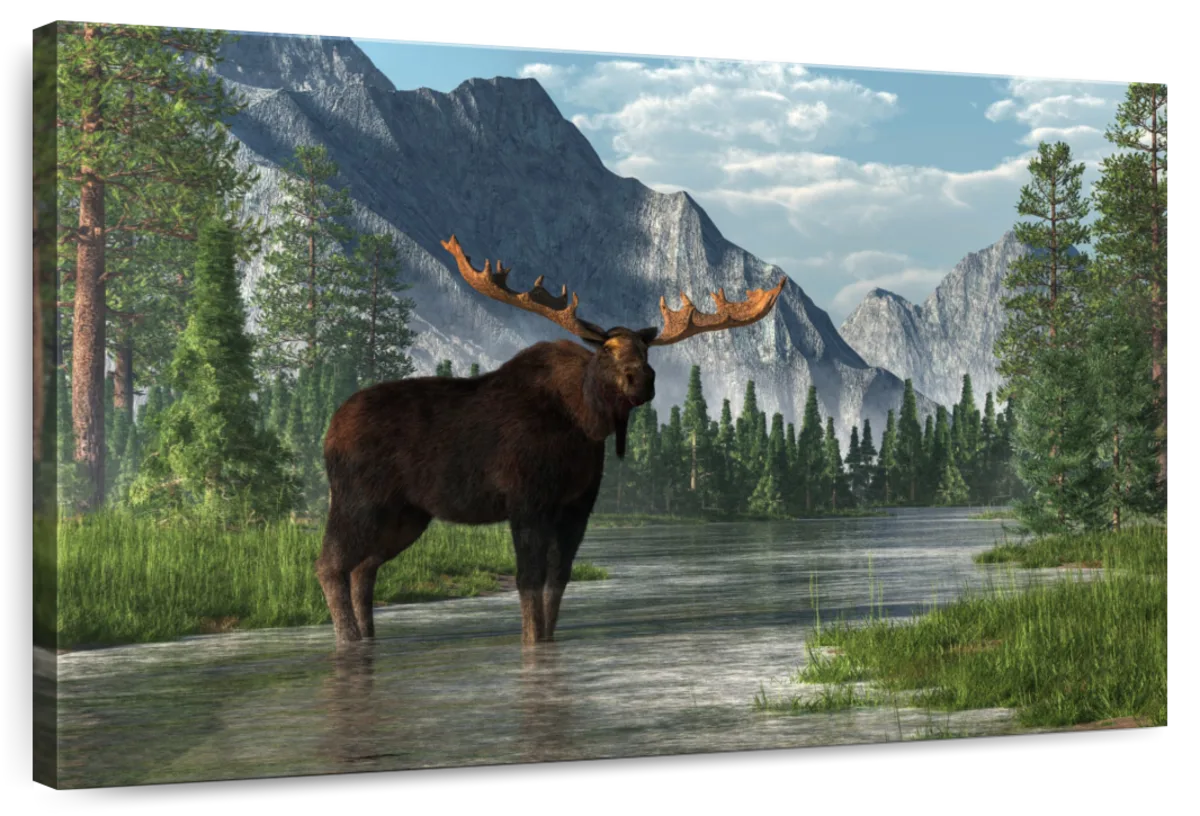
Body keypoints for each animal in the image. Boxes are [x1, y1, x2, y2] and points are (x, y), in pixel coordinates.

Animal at [316, 234, 787, 648]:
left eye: (647, 352)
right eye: (607, 350)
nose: (642, 380)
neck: (584, 427)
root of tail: (330, 428)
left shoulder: (577, 506)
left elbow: (558, 579)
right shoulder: (526, 501)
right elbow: (528, 580)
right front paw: (531, 645)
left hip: (408, 515)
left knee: (364, 568)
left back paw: (367, 639)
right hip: (358, 499)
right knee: (331, 564)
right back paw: (348, 640)